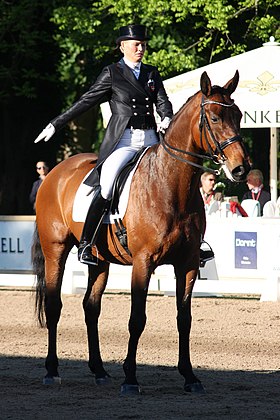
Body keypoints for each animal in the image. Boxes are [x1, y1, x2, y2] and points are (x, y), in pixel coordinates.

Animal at [31, 70, 250, 396]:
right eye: (213, 117)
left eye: (238, 115)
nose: (241, 169)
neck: (171, 185)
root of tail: (55, 174)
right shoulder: (143, 262)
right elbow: (137, 319)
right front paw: (130, 378)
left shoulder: (187, 264)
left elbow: (184, 319)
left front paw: (190, 376)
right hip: (55, 249)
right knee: (54, 304)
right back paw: (51, 370)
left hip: (100, 260)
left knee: (90, 307)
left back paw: (99, 371)